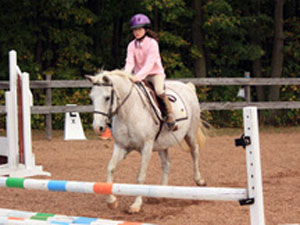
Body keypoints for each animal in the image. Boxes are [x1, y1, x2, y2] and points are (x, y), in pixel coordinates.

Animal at [85, 70, 205, 213]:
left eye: (107, 97)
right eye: (92, 98)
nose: (97, 128)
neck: (128, 112)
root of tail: (188, 86)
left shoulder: (146, 147)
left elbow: (140, 176)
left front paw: (136, 205)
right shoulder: (121, 147)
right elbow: (111, 168)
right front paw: (111, 201)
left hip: (190, 134)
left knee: (195, 151)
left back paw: (199, 180)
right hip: (162, 144)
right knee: (167, 164)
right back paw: (162, 193)